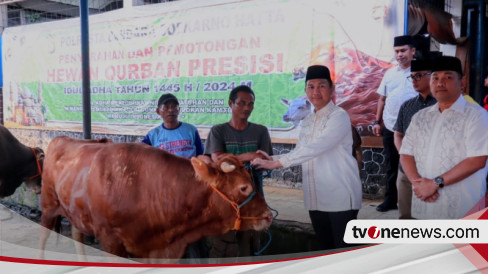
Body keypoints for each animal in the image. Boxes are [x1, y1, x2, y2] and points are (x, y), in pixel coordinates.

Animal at [40, 137, 272, 262]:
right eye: (244, 187)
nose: (269, 216)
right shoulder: (111, 241)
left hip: (75, 213)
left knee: (77, 235)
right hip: (48, 206)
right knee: (43, 237)